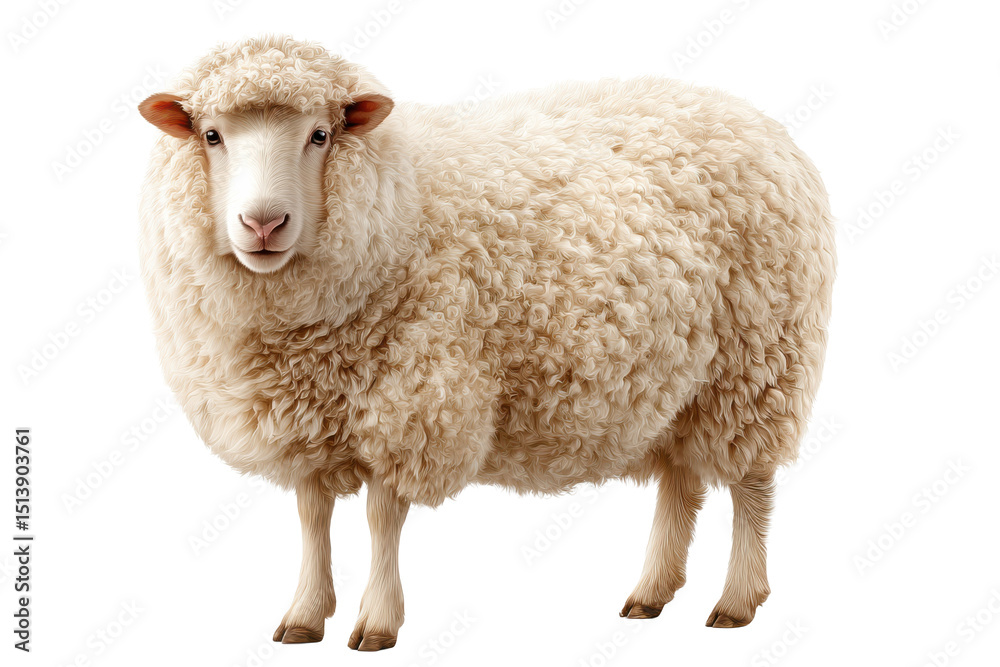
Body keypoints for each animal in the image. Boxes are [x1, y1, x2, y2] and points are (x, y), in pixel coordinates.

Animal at [138, 35, 835, 651]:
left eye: (320, 135)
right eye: (211, 136)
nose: (263, 224)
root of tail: (757, 121)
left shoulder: (411, 401)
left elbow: (382, 519)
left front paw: (377, 624)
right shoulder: (309, 416)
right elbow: (313, 519)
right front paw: (305, 616)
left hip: (759, 362)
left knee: (751, 486)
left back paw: (737, 601)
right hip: (680, 382)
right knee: (682, 483)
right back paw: (652, 593)